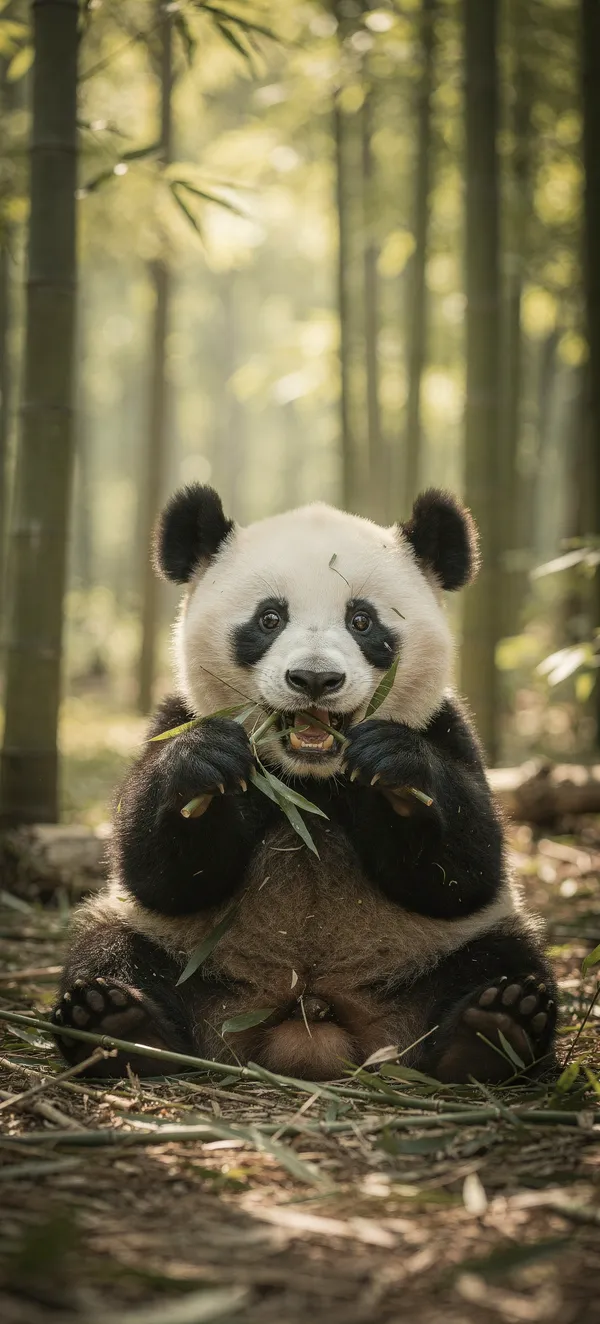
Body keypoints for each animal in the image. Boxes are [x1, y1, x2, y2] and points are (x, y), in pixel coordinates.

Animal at [52, 484, 557, 1082]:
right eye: (270, 618)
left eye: (362, 621)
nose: (315, 678)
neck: (310, 781)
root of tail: (308, 1017)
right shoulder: (177, 718)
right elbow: (156, 872)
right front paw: (205, 763)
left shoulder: (447, 728)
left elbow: (466, 869)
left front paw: (394, 767)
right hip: (185, 955)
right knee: (111, 949)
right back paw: (118, 1024)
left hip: (434, 953)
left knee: (502, 956)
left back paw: (492, 1029)